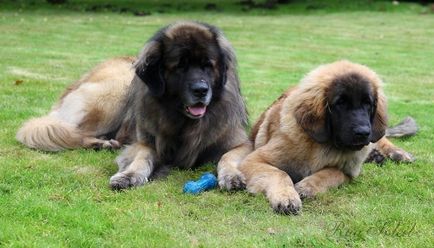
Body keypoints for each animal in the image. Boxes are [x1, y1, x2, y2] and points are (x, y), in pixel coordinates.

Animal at [17, 21, 251, 190]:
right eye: (180, 67)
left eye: (207, 65)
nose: (201, 90)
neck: (183, 121)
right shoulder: (144, 141)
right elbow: (141, 158)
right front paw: (129, 175)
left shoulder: (240, 142)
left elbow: (228, 157)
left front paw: (231, 175)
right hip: (115, 92)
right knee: (74, 133)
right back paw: (100, 143)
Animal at [237, 60, 414, 215]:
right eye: (340, 103)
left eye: (368, 103)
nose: (363, 132)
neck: (323, 146)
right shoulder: (254, 160)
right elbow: (280, 173)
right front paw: (286, 197)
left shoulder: (348, 172)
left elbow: (330, 172)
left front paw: (307, 186)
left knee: (383, 140)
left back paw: (398, 154)